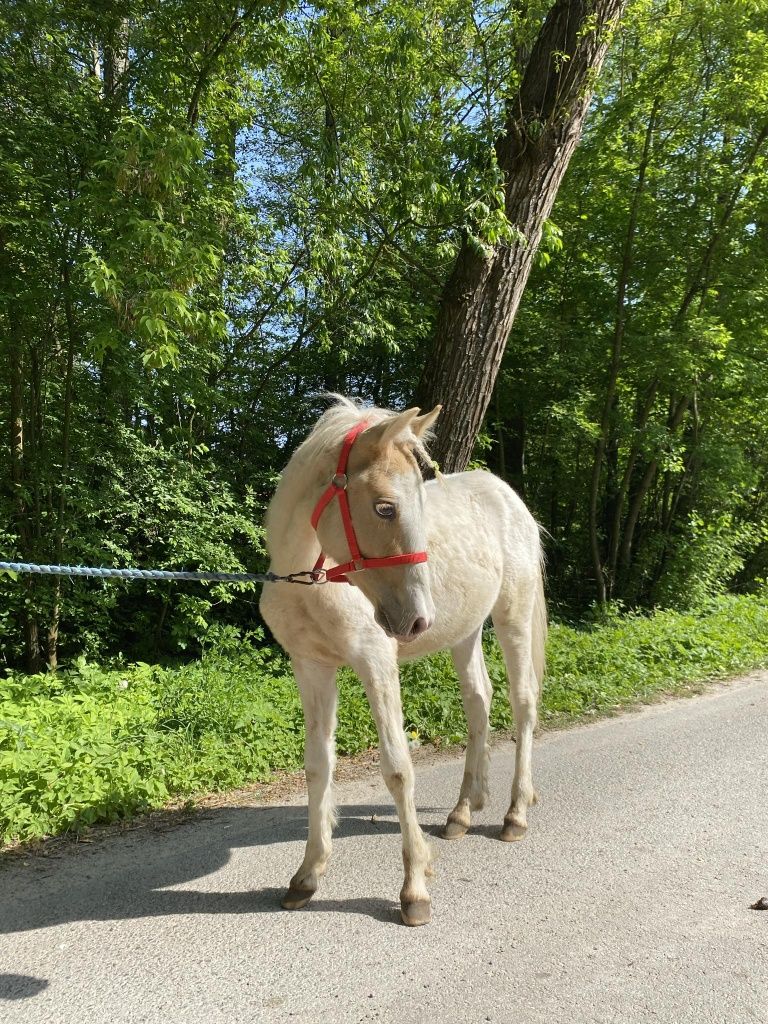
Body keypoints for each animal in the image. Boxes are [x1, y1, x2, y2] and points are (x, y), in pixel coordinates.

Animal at [262, 397, 548, 929]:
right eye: (385, 507)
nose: (416, 620)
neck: (312, 581)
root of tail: (508, 496)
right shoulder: (312, 667)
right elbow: (317, 767)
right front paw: (306, 877)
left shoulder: (376, 663)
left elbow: (397, 769)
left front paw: (414, 889)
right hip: (465, 632)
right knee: (479, 701)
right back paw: (463, 812)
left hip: (513, 615)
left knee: (523, 704)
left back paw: (514, 815)